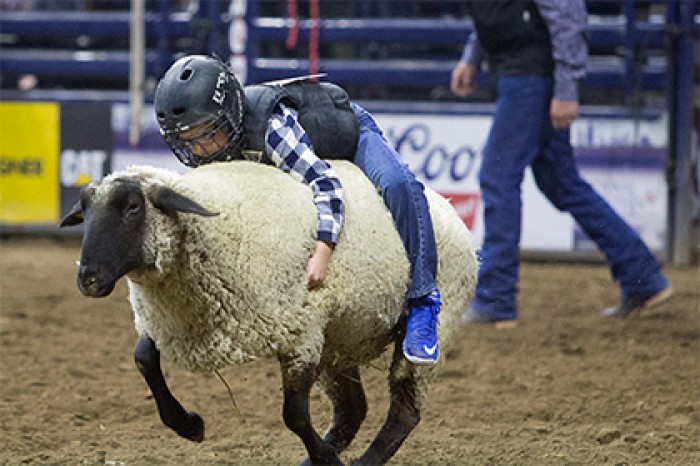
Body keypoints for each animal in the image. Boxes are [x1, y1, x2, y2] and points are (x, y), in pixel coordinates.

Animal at [61, 161, 476, 466]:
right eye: (86, 212)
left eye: (132, 207)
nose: (88, 279)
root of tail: (447, 208)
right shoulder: (163, 323)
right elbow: (143, 359)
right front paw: (188, 425)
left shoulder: (302, 336)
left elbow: (294, 415)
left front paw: (327, 459)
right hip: (339, 340)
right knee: (352, 411)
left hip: (430, 327)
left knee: (404, 411)